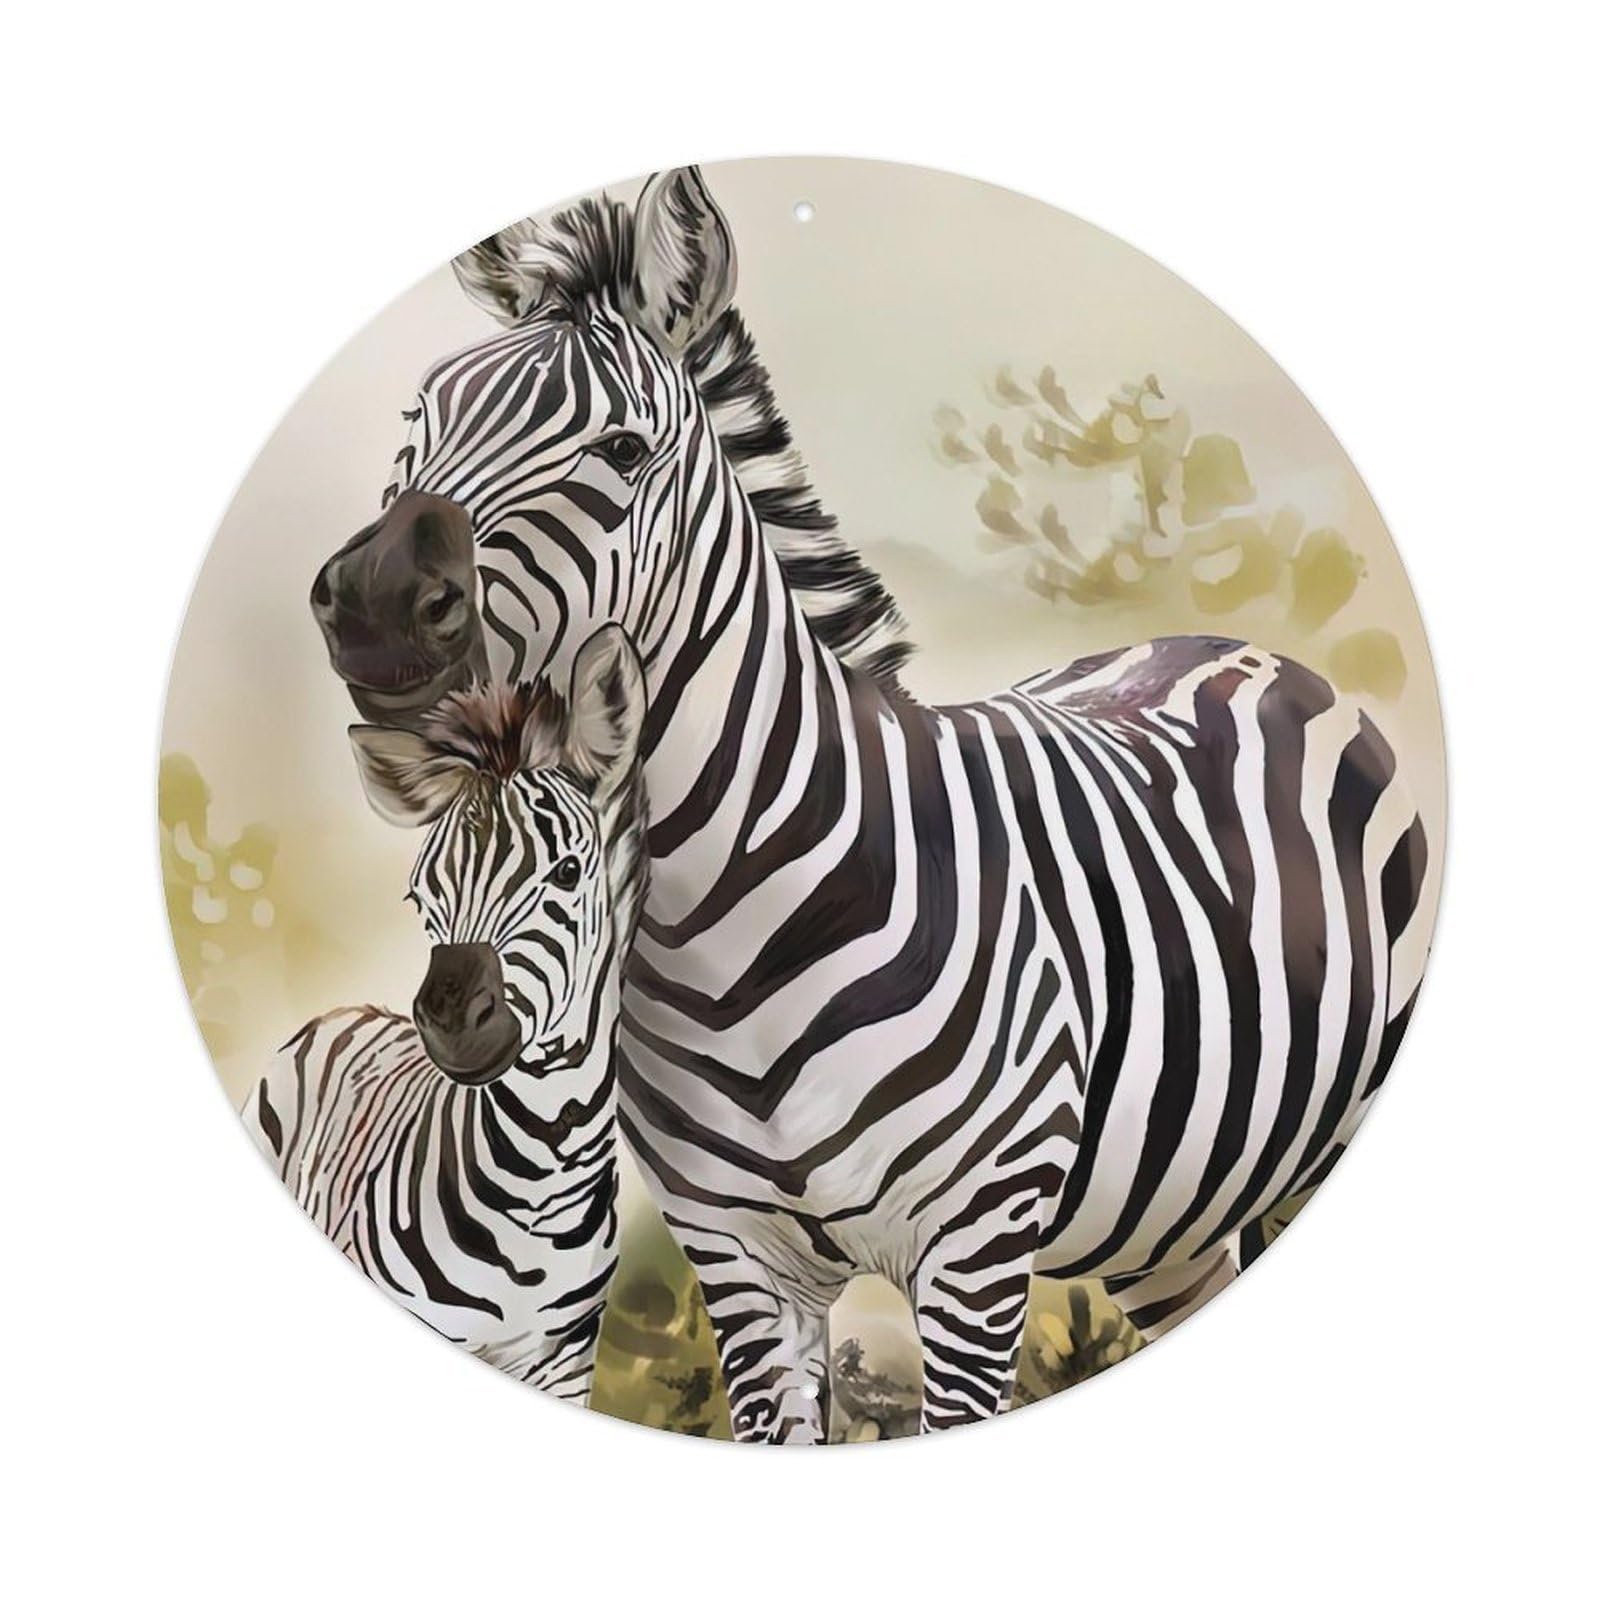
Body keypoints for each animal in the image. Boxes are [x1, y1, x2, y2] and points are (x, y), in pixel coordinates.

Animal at [244, 626, 649, 1400]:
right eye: (420, 896)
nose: (450, 1022)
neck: (544, 1181)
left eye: (568, 873)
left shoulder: (566, 1364)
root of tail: (347, 1010)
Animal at [310, 168, 1432, 1441]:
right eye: (416, 422)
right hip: (1174, 1216)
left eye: (622, 448)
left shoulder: (974, 1258)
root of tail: (1223, 644)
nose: (368, 601)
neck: (728, 937)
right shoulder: (740, 1264)